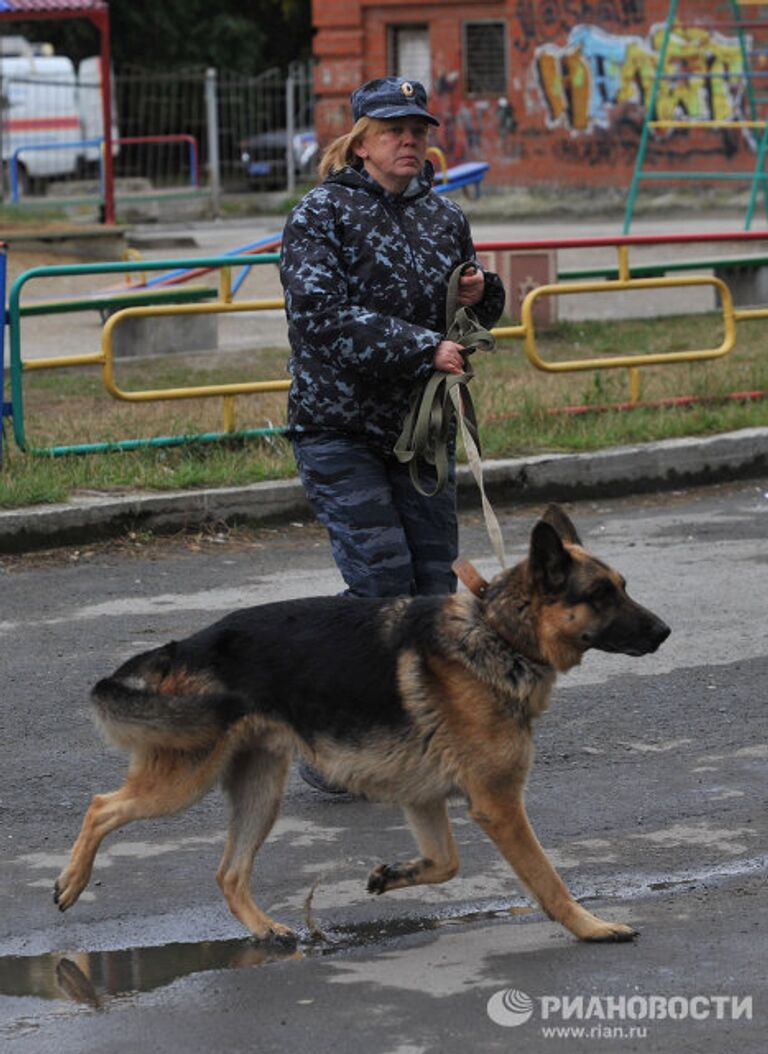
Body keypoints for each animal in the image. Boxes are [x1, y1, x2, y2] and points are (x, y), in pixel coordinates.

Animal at [53, 505, 670, 944]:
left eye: (624, 586)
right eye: (600, 594)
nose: (665, 631)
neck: (497, 633)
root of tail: (186, 645)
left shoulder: (425, 799)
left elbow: (447, 863)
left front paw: (393, 875)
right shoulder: (498, 805)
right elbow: (548, 879)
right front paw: (592, 927)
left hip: (260, 790)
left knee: (228, 873)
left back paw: (265, 928)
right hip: (185, 780)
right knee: (101, 806)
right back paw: (71, 882)